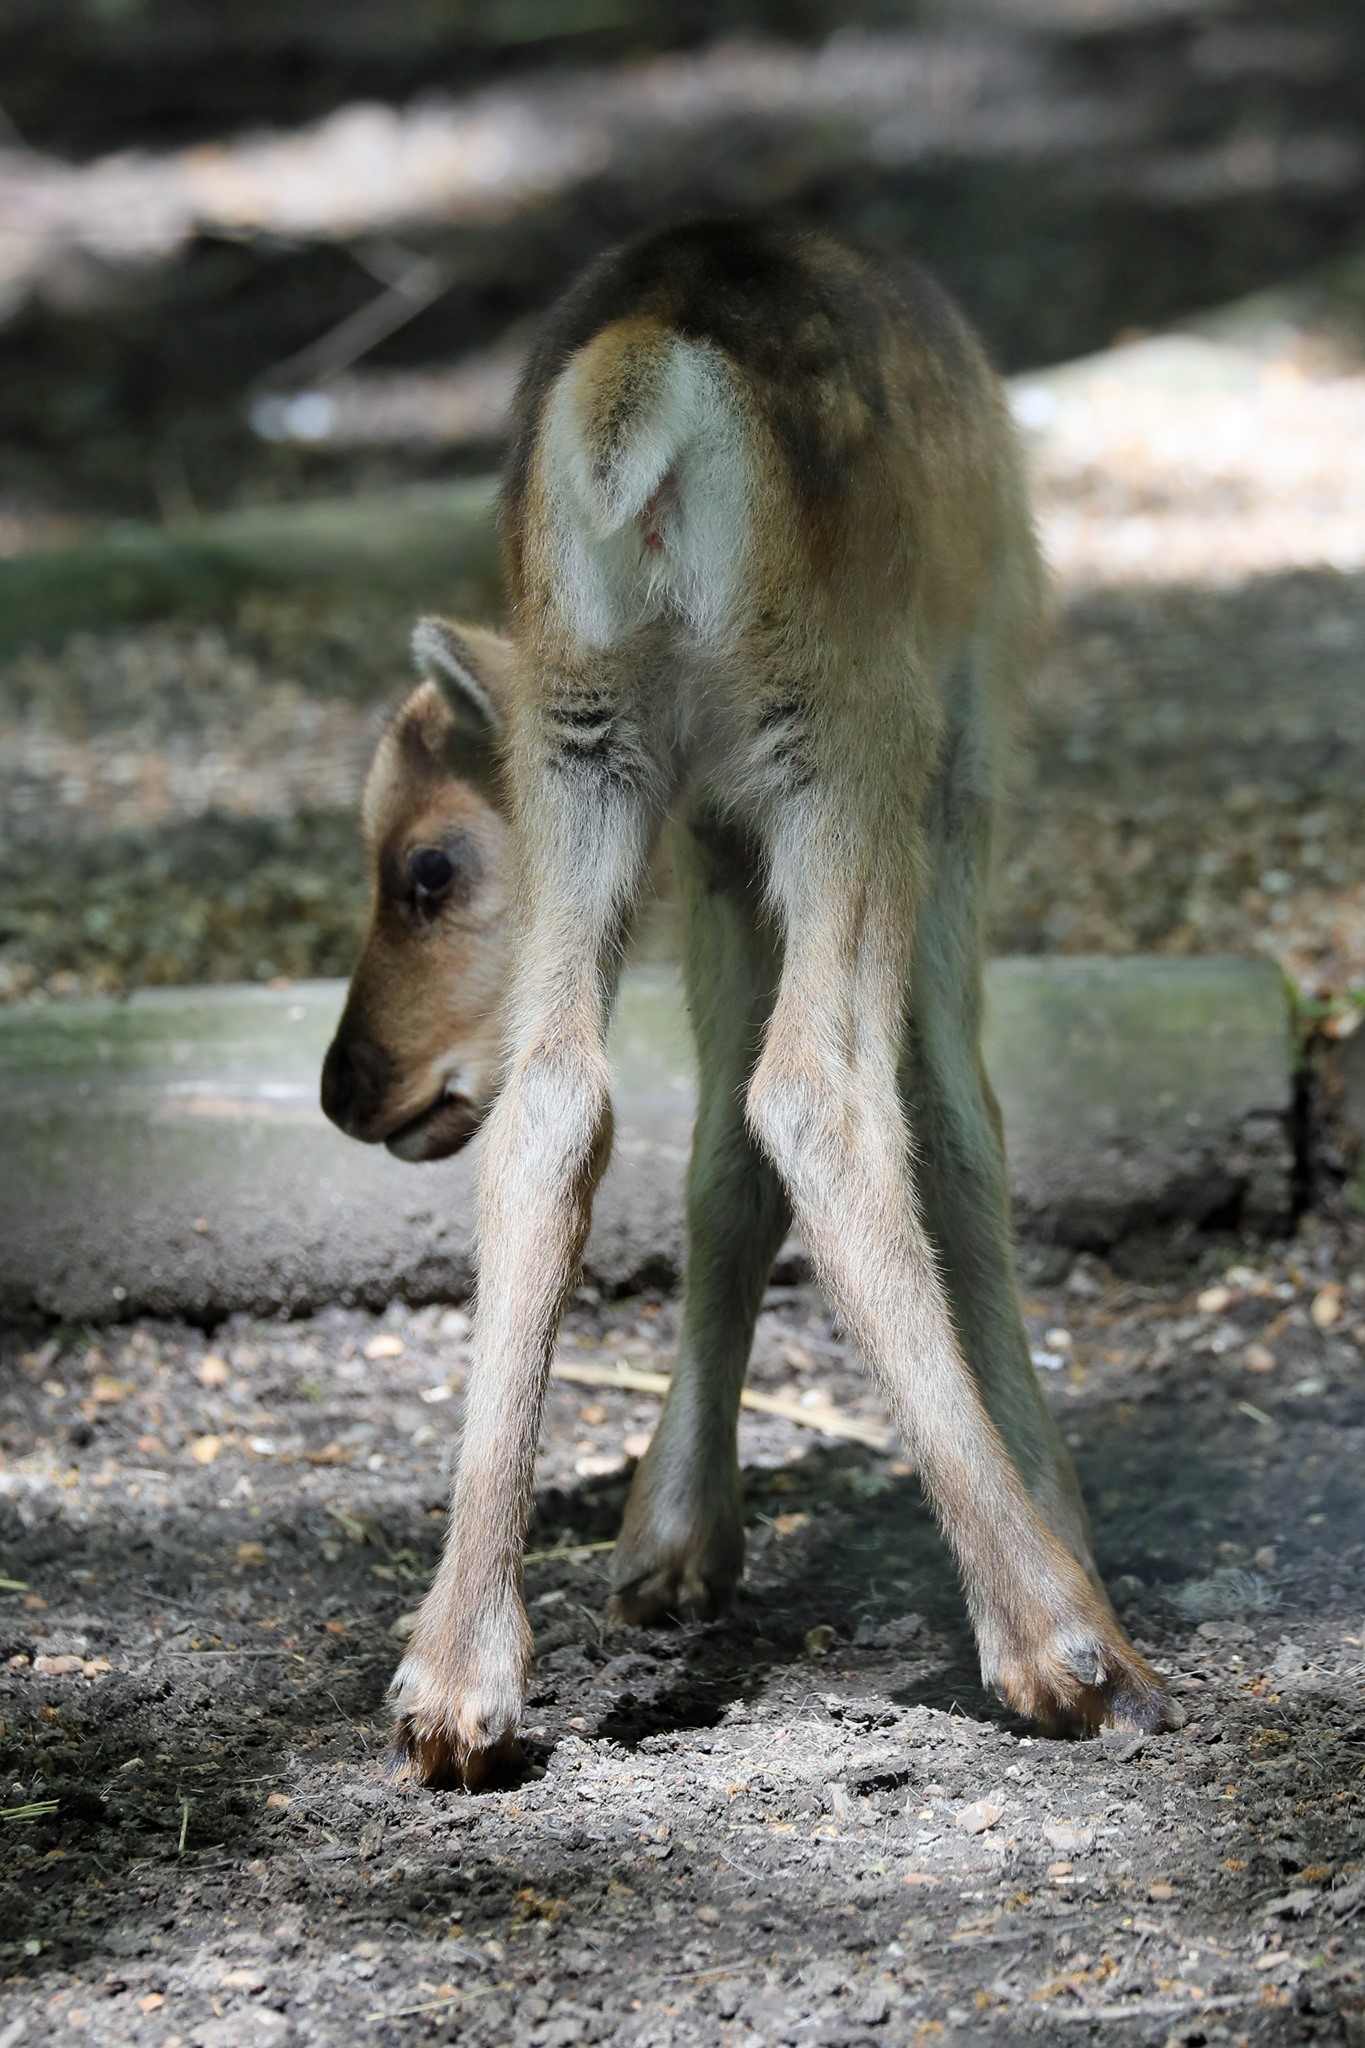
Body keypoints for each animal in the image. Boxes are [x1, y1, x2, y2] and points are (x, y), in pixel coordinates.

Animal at [321, 218, 1177, 1788]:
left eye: (425, 867)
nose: (347, 1082)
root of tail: (645, 389)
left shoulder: (711, 832)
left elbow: (714, 1162)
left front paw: (671, 1542)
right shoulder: (957, 740)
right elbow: (956, 1119)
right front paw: (1066, 1518)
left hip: (592, 744)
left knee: (558, 1103)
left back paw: (455, 1679)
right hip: (850, 725)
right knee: (824, 1093)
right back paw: (1066, 1642)